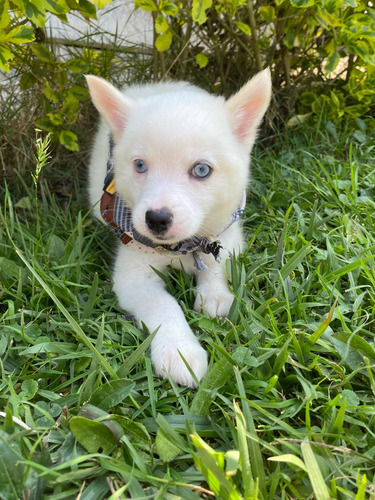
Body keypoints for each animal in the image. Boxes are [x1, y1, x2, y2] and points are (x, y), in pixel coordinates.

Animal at [86, 70, 272, 388]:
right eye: (139, 165)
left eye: (202, 170)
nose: (156, 219)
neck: (183, 246)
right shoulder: (133, 276)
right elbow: (163, 304)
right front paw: (180, 350)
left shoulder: (228, 231)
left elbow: (216, 262)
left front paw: (214, 295)